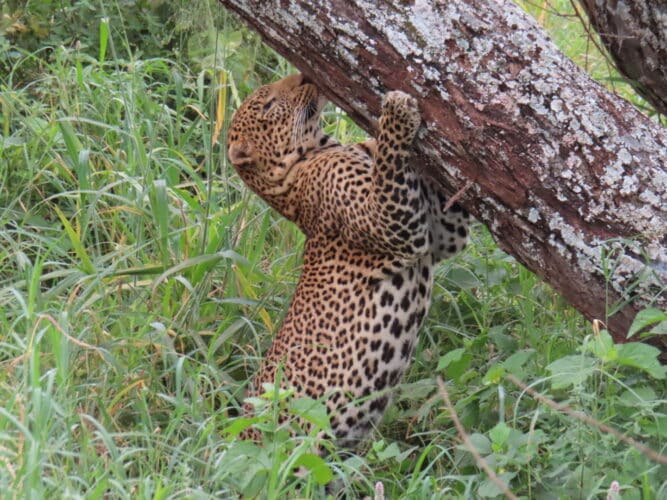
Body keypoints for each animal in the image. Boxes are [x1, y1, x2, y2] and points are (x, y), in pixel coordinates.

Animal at [227, 73, 469, 447]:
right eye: (268, 105)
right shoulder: (396, 225)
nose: (304, 76)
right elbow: (388, 168)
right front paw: (396, 114)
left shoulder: (442, 233)